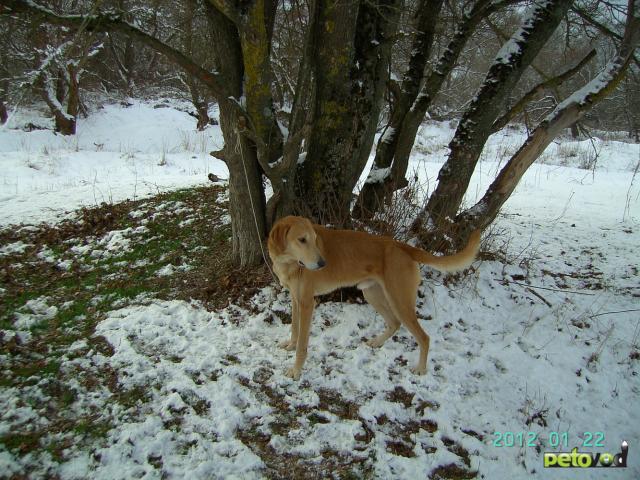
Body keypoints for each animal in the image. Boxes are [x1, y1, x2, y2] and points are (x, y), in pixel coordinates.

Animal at [264, 217, 480, 378]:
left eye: (314, 239)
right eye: (302, 240)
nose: (322, 263)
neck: (288, 262)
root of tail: (402, 246)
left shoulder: (308, 303)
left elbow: (302, 345)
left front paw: (296, 371)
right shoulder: (295, 299)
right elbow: (294, 328)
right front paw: (290, 345)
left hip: (399, 301)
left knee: (424, 337)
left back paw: (420, 369)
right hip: (372, 294)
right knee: (394, 323)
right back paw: (377, 342)